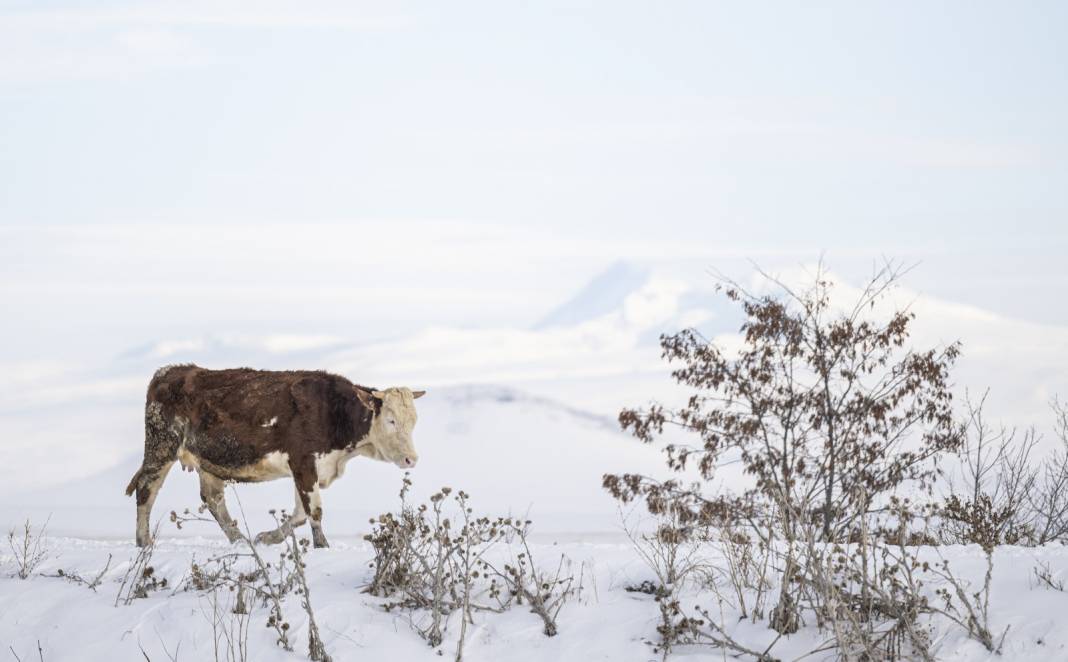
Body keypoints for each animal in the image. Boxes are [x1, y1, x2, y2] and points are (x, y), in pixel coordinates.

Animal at [122, 365, 422, 546]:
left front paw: (267, 537)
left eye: (413, 421)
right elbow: (314, 511)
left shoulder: (309, 469)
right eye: (391, 420)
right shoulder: (303, 462)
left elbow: (300, 514)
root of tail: (169, 372)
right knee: (146, 490)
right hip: (161, 446)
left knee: (213, 500)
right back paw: (144, 542)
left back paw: (239, 539)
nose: (411, 459)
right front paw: (322, 545)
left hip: (208, 461)